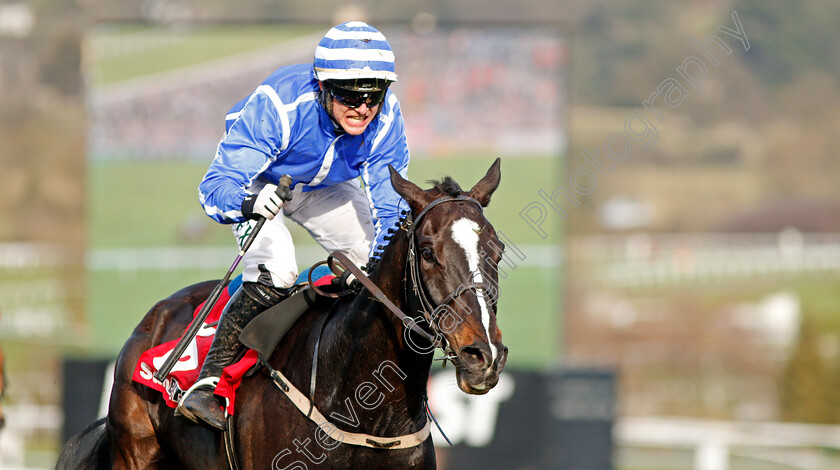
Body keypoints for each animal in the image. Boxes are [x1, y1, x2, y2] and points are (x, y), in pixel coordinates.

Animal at [59, 159, 508, 470]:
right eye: (428, 253)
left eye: (498, 250)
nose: (483, 355)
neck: (366, 409)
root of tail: (155, 317)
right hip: (133, 452)